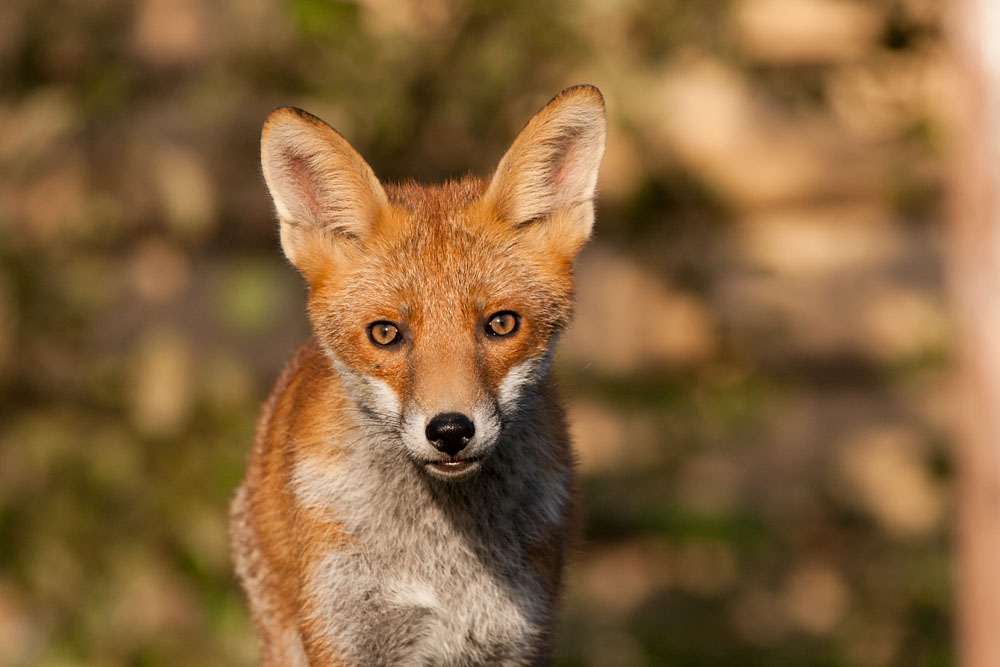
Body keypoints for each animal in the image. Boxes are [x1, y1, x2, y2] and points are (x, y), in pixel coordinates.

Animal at [230, 85, 607, 666]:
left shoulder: (514, 639)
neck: (441, 565)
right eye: (385, 333)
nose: (450, 431)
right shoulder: (346, 634)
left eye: (502, 324)